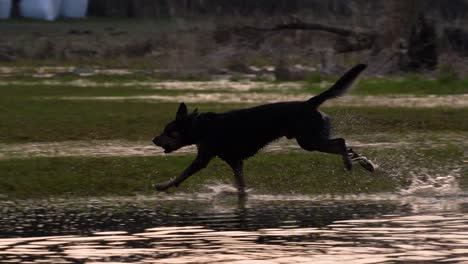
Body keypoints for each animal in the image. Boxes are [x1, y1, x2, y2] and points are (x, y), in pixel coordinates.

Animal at [154, 64, 376, 194]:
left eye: (167, 131)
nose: (154, 140)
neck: (200, 127)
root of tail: (309, 103)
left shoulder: (203, 159)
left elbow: (181, 175)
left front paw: (162, 186)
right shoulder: (236, 162)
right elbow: (241, 186)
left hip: (309, 141)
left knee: (341, 142)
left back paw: (349, 164)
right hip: (313, 139)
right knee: (348, 147)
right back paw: (367, 165)